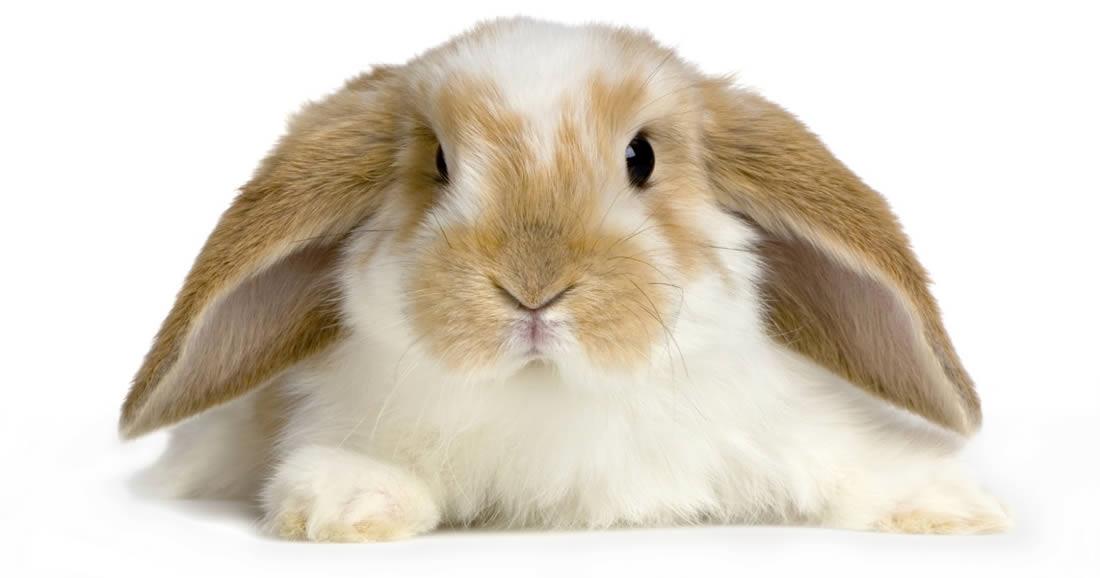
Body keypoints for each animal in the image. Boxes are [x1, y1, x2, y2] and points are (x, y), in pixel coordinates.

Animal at [122, 17, 1009, 542]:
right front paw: (346, 504)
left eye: (641, 157)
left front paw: (953, 506)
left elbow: (850, 463)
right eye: (438, 162)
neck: (553, 391)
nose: (533, 287)